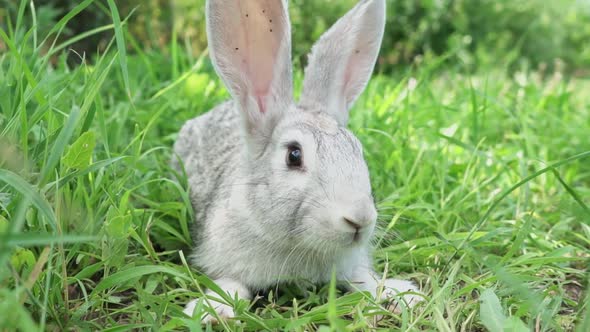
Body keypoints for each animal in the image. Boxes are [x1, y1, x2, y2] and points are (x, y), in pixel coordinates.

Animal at [173, 0, 424, 322]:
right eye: (294, 155)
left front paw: (403, 293)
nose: (360, 220)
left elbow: (363, 279)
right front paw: (210, 309)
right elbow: (230, 283)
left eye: (357, 150)